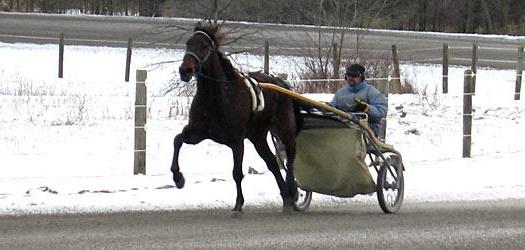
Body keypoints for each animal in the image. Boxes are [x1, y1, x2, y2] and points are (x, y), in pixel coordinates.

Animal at [172, 20, 298, 214]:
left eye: (204, 46)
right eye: (187, 43)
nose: (185, 70)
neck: (217, 96)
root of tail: (279, 82)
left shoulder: (236, 141)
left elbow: (237, 173)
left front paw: (238, 203)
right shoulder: (197, 132)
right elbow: (177, 140)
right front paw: (178, 178)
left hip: (283, 127)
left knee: (290, 155)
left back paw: (292, 191)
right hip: (257, 135)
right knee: (272, 162)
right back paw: (286, 196)